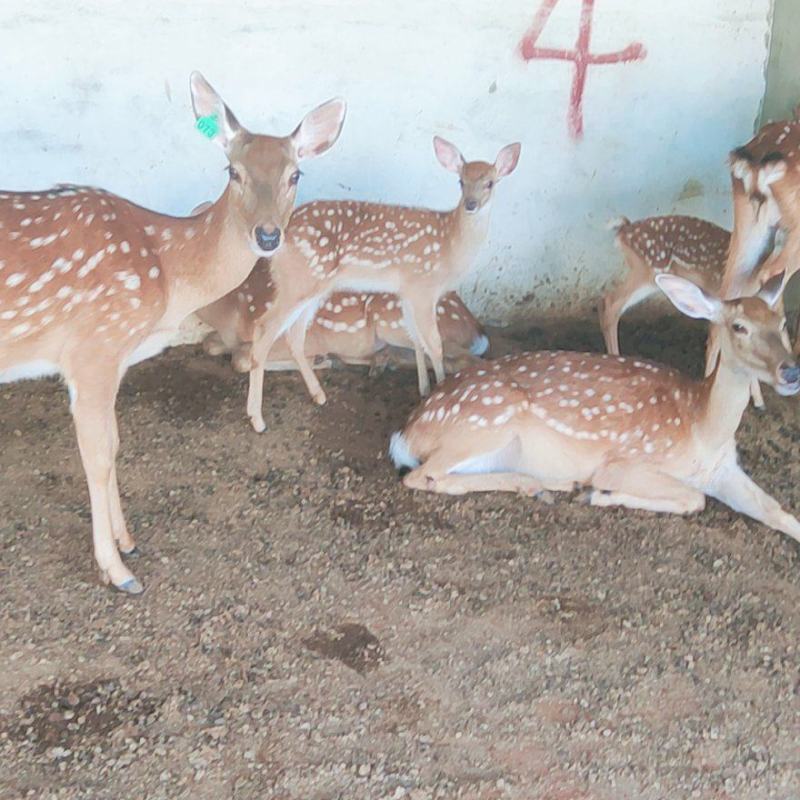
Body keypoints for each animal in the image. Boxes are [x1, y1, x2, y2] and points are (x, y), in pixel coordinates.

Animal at [0, 73, 346, 593]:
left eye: (295, 175)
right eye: (232, 171)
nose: (268, 236)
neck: (167, 272)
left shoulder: (115, 358)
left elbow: (115, 444)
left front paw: (127, 541)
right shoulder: (93, 347)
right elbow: (96, 456)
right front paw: (118, 571)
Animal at [198, 256, 489, 374]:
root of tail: (474, 325)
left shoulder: (306, 335)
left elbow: (240, 358)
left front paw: (319, 360)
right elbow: (210, 344)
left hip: (393, 320)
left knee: (464, 359)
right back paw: (379, 362)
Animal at [241, 136, 521, 432]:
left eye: (490, 182)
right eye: (461, 181)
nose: (471, 204)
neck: (450, 245)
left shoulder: (408, 292)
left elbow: (417, 341)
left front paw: (423, 389)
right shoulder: (423, 288)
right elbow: (434, 343)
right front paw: (439, 389)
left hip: (311, 287)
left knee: (294, 335)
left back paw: (319, 395)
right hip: (298, 282)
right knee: (263, 331)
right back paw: (257, 419)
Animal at [390, 272, 800, 543]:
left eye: (781, 322)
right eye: (739, 327)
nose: (790, 370)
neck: (701, 427)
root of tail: (408, 431)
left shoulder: (724, 469)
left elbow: (776, 510)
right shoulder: (624, 463)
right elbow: (693, 499)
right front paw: (601, 496)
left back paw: (548, 483)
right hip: (486, 420)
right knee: (422, 476)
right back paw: (544, 485)